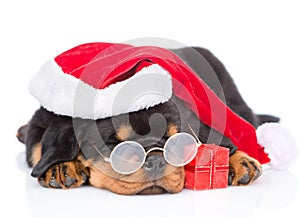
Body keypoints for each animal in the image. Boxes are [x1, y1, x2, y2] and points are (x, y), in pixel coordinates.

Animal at [16, 46, 278, 195]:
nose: (155, 159)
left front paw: (238, 160)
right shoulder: (41, 121)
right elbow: (40, 147)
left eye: (175, 141)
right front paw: (59, 166)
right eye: (114, 144)